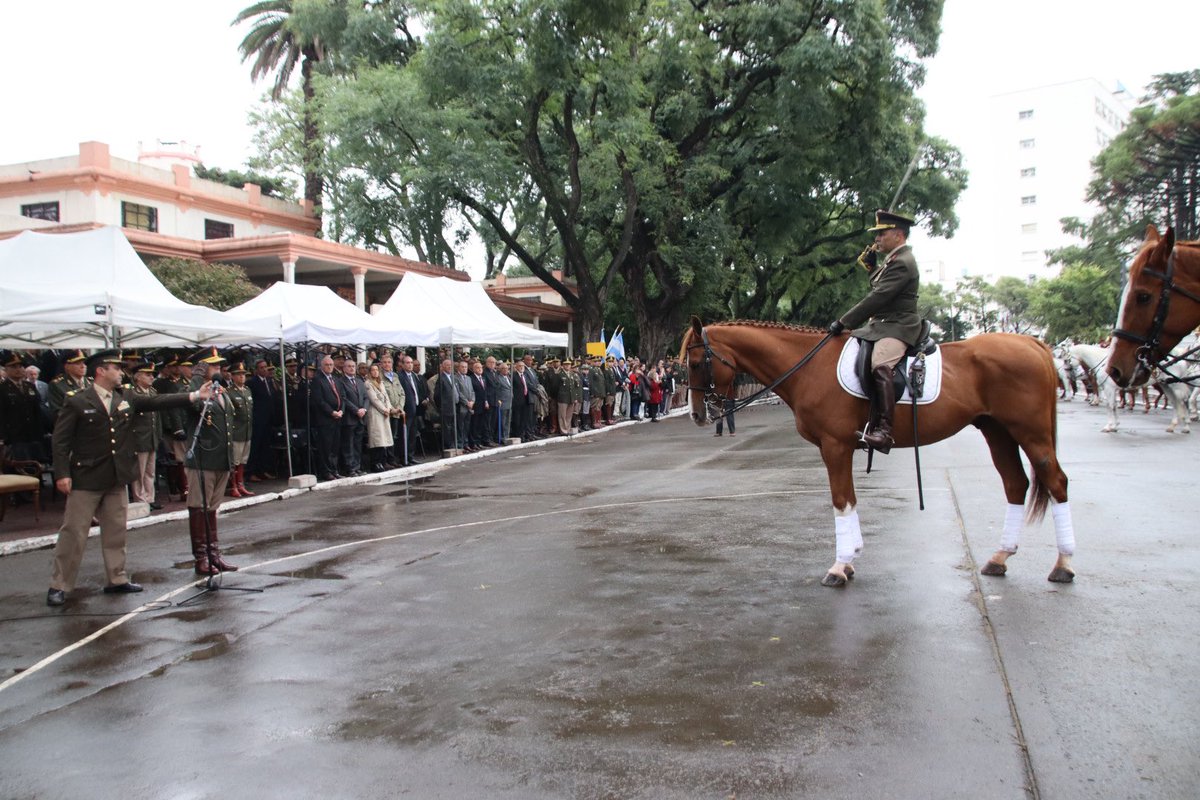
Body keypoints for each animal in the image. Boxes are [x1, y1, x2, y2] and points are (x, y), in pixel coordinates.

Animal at [686, 316, 1080, 587]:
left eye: (694, 362)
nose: (698, 415)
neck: (809, 367)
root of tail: (1031, 342)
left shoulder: (835, 446)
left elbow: (841, 500)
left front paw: (839, 566)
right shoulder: (840, 448)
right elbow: (849, 500)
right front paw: (850, 560)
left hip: (1031, 434)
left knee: (1056, 483)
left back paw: (1063, 564)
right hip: (997, 432)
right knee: (1015, 484)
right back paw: (1000, 558)